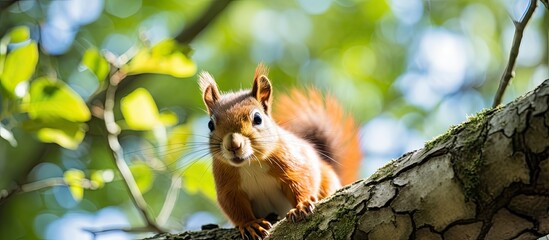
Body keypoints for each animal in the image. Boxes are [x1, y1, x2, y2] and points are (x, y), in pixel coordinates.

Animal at [199, 63, 362, 238]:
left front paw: (301, 205)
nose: (233, 145)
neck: (251, 164)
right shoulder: (228, 185)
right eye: (210, 124)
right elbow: (233, 206)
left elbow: (301, 181)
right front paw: (250, 224)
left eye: (258, 119)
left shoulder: (292, 162)